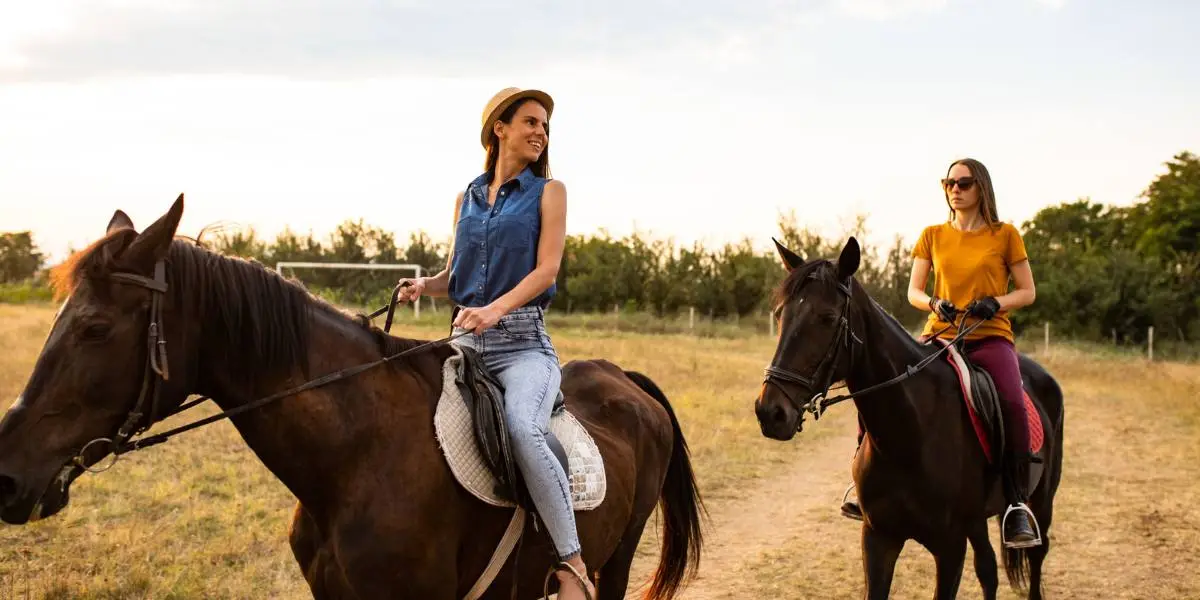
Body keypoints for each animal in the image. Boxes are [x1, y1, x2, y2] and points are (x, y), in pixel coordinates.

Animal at [753, 237, 1064, 600]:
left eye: (828, 317)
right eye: (780, 314)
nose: (770, 412)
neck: (910, 433)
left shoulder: (950, 547)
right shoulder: (879, 539)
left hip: (1041, 502)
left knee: (1036, 558)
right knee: (988, 570)